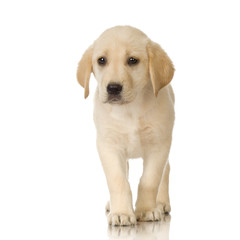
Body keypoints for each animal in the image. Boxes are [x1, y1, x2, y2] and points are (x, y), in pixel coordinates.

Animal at [77, 25, 174, 226]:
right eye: (101, 60)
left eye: (132, 60)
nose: (113, 88)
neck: (129, 110)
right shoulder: (108, 146)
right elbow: (118, 180)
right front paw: (121, 212)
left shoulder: (158, 145)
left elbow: (150, 180)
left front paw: (146, 210)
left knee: (166, 172)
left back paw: (161, 203)